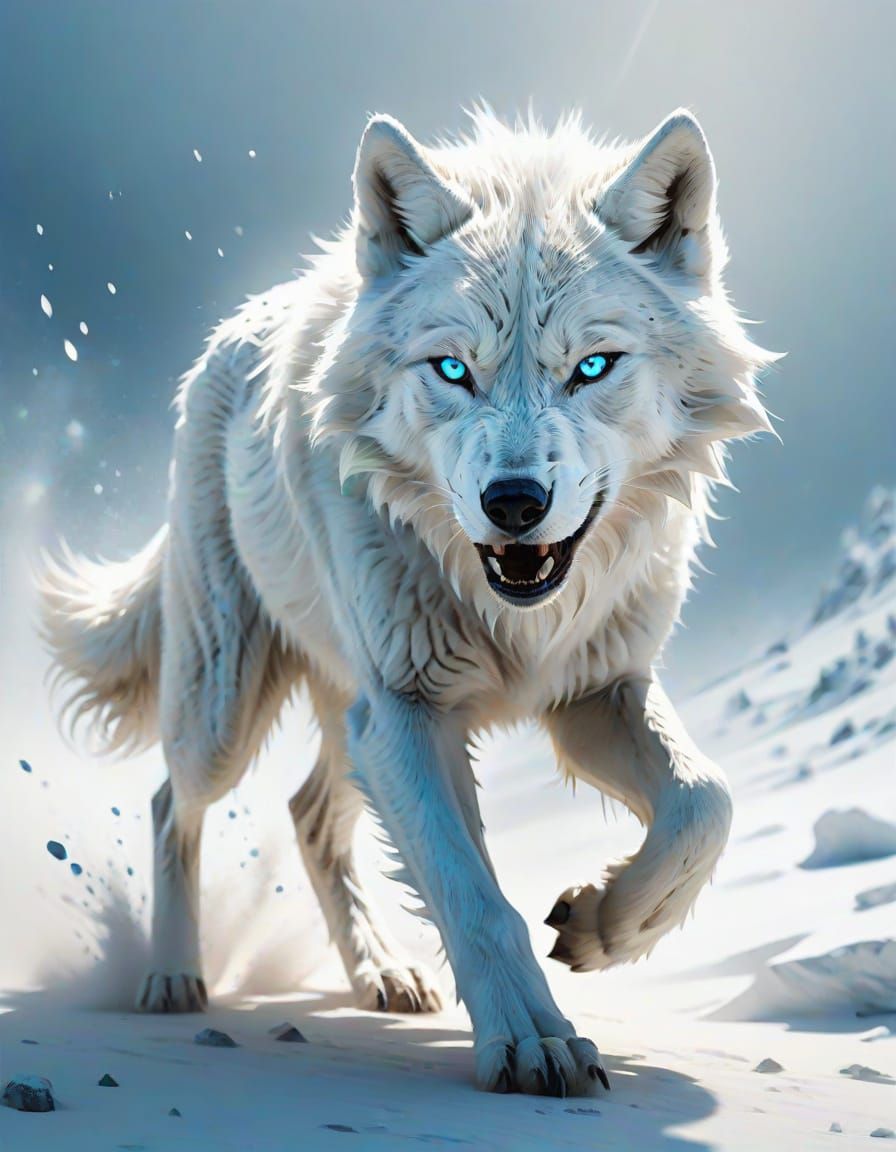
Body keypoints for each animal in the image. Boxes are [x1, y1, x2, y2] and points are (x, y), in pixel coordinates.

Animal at [40, 106, 774, 1096]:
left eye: (592, 366)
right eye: (453, 370)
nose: (514, 503)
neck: (514, 618)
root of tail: (236, 326)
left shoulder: (596, 689)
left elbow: (707, 802)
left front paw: (603, 925)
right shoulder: (409, 714)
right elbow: (474, 892)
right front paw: (536, 1043)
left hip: (345, 714)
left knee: (309, 815)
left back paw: (384, 974)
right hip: (227, 706)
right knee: (169, 802)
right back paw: (172, 978)